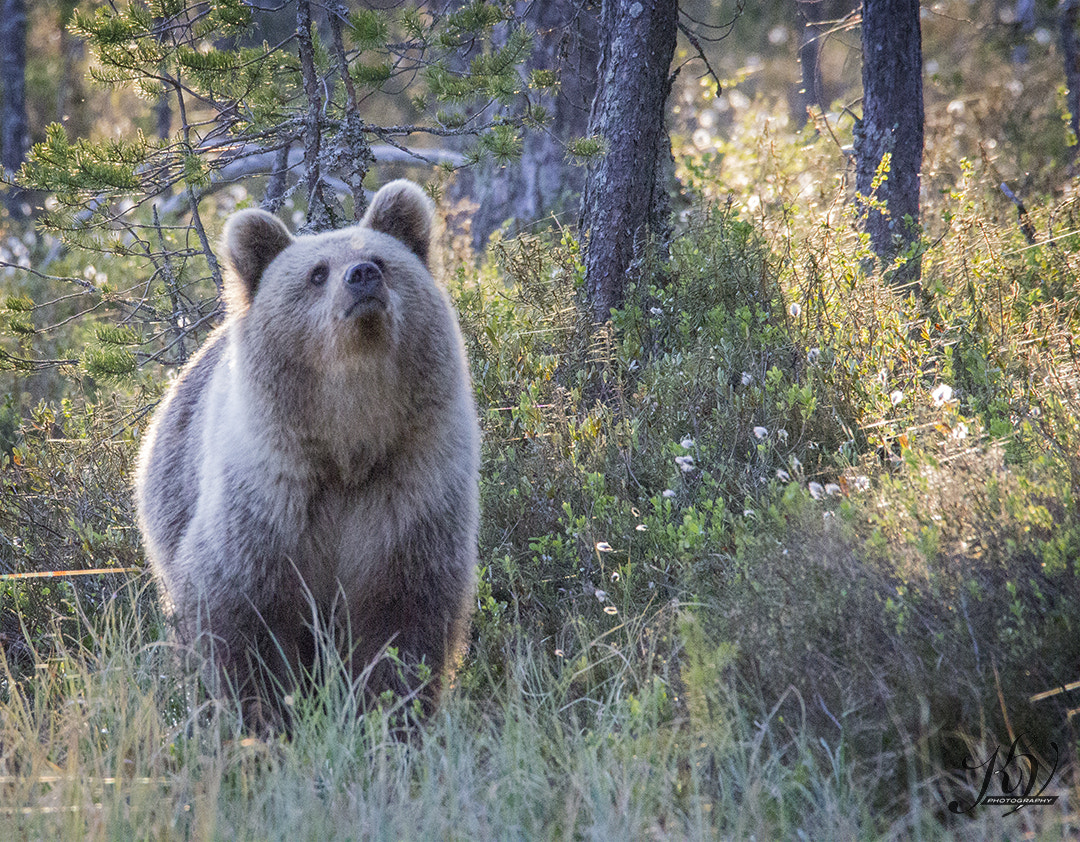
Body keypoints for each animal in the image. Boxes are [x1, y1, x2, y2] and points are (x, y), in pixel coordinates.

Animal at [133, 180, 480, 729]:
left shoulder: (407, 489)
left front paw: (390, 715)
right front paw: (266, 715)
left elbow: (403, 619)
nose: (362, 277)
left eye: (381, 259)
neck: (347, 445)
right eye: (317, 272)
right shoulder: (269, 502)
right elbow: (242, 615)